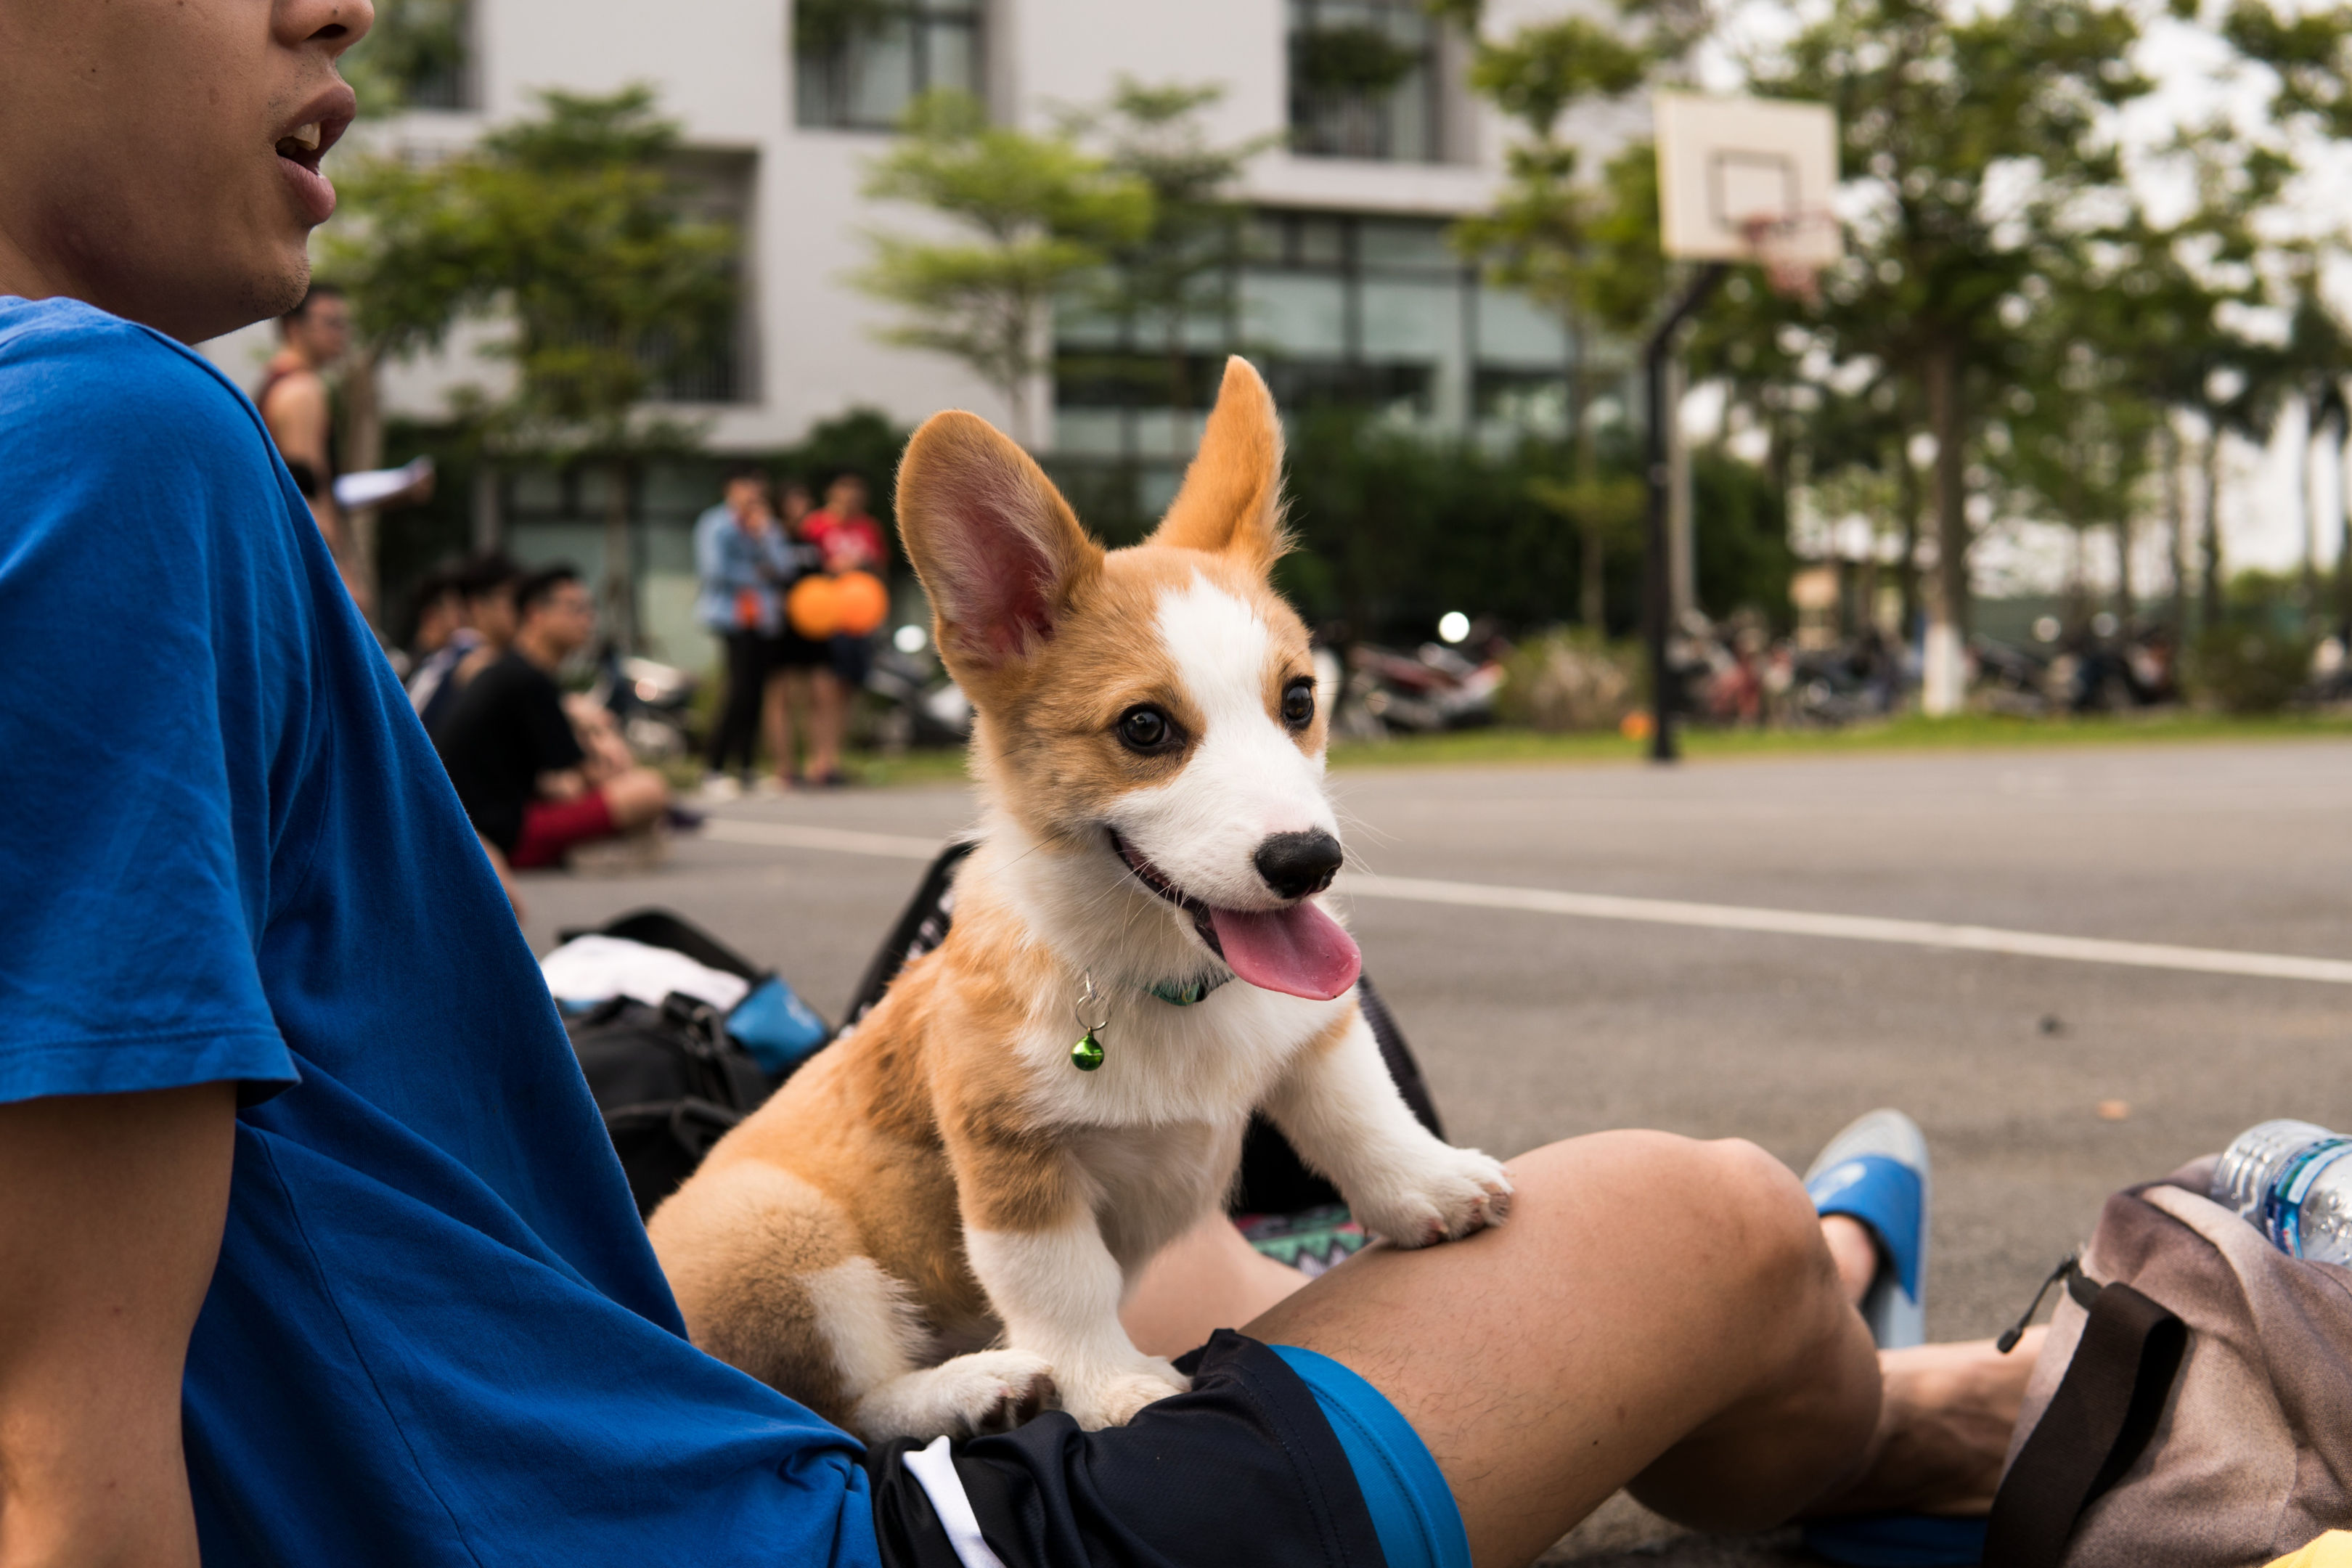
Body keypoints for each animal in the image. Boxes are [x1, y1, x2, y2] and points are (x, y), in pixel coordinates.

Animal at [644, 359, 1505, 1447]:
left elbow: (1358, 1113)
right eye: (1144, 729)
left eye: (1301, 702)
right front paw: (1114, 1387)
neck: (1163, 980)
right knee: (845, 1404)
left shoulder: (1313, 1036)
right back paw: (978, 1386)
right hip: (780, 1230)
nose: (1309, 862)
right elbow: (1063, 1286)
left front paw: (1429, 1188)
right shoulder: (1013, 1161)